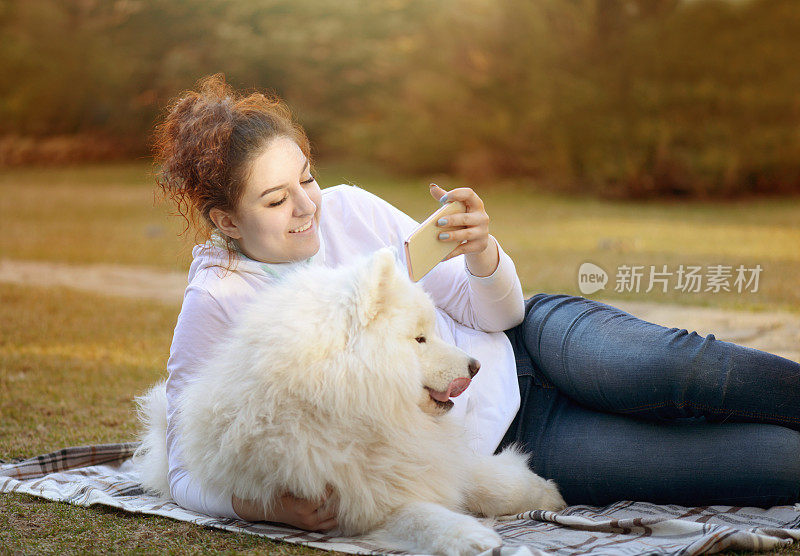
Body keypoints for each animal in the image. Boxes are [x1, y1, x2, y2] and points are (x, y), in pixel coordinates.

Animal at [134, 249, 564, 556]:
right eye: (419, 339)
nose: (475, 366)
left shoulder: (423, 456)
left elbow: (489, 480)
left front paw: (545, 495)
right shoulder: (362, 498)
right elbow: (423, 516)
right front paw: (473, 539)